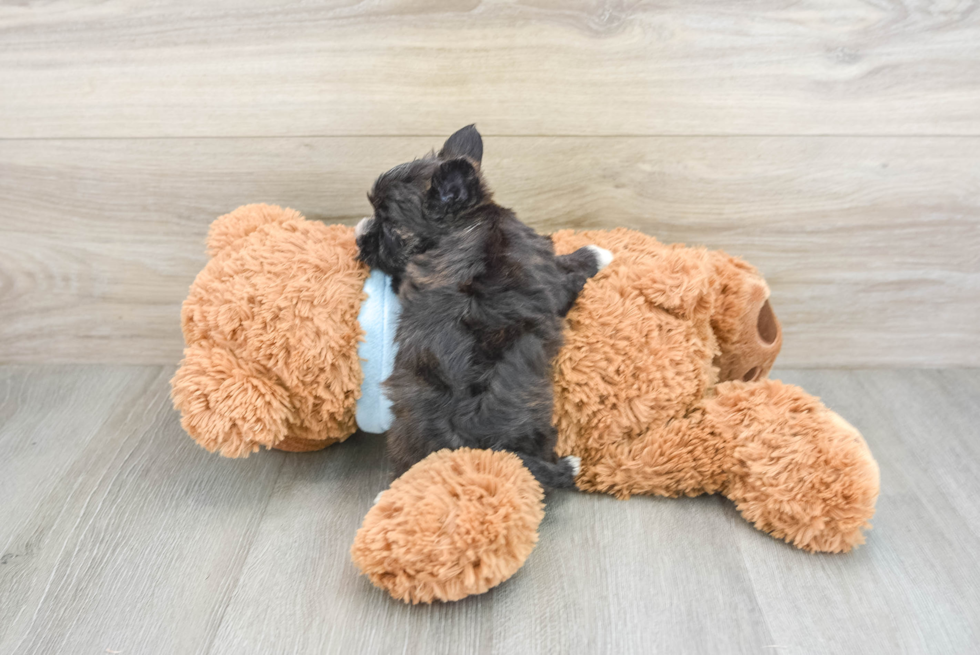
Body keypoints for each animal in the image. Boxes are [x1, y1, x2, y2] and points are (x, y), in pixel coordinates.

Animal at [356, 125, 608, 490]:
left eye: (387, 223)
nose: (358, 238)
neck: (466, 222)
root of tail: (466, 446)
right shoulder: (551, 275)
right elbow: (570, 268)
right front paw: (597, 254)